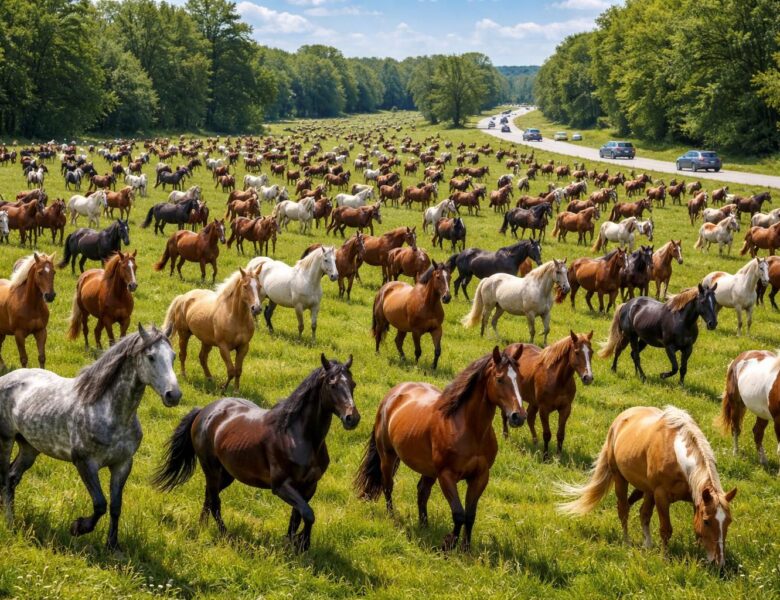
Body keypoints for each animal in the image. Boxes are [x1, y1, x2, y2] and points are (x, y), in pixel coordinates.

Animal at [0, 325, 180, 549]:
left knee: (12, 477)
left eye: (173, 356)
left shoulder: (122, 464)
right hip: (5, 440)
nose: (174, 395)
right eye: (151, 357)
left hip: (29, 447)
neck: (109, 411)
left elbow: (115, 506)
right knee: (4, 478)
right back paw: (9, 523)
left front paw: (112, 546)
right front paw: (77, 527)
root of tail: (6, 378)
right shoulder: (85, 463)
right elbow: (100, 503)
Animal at [153, 354, 357, 551]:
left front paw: (292, 545)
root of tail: (204, 411)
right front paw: (302, 545)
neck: (297, 435)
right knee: (215, 502)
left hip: (227, 474)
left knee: (209, 496)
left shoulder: (308, 486)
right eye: (332, 384)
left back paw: (202, 527)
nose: (352, 418)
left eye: (353, 384)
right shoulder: (281, 486)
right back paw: (226, 536)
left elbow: (298, 516)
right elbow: (308, 514)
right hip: (211, 469)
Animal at [354, 345, 525, 551]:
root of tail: (393, 395)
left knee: (422, 491)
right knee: (388, 486)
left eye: (520, 379)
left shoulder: (480, 477)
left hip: (429, 470)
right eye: (500, 379)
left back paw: (424, 525)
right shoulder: (447, 475)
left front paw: (466, 549)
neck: (468, 428)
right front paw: (448, 545)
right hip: (388, 457)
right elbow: (459, 513)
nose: (518, 416)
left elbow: (470, 515)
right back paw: (392, 517)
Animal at [558, 405, 736, 568]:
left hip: (646, 490)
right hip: (620, 478)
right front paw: (664, 558)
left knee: (642, 513)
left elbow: (694, 530)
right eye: (707, 521)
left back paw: (647, 544)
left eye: (728, 522)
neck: (677, 456)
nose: (719, 563)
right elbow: (666, 529)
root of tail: (620, 419)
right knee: (624, 509)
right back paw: (627, 541)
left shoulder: (696, 498)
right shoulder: (661, 496)